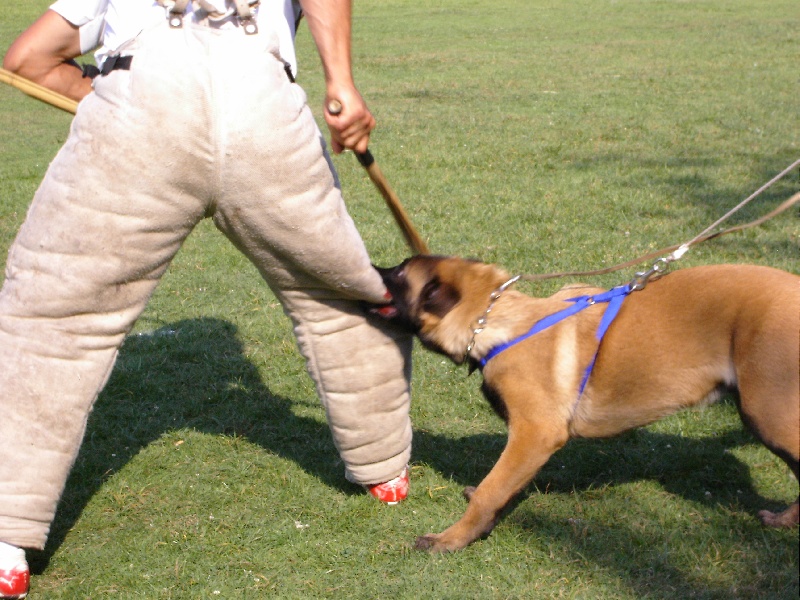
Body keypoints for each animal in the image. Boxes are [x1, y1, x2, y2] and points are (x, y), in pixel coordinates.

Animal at [376, 255, 800, 552]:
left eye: (398, 274)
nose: (371, 267)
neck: (499, 322)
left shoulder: (535, 434)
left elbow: (490, 490)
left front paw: (453, 538)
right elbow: (500, 485)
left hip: (769, 412)